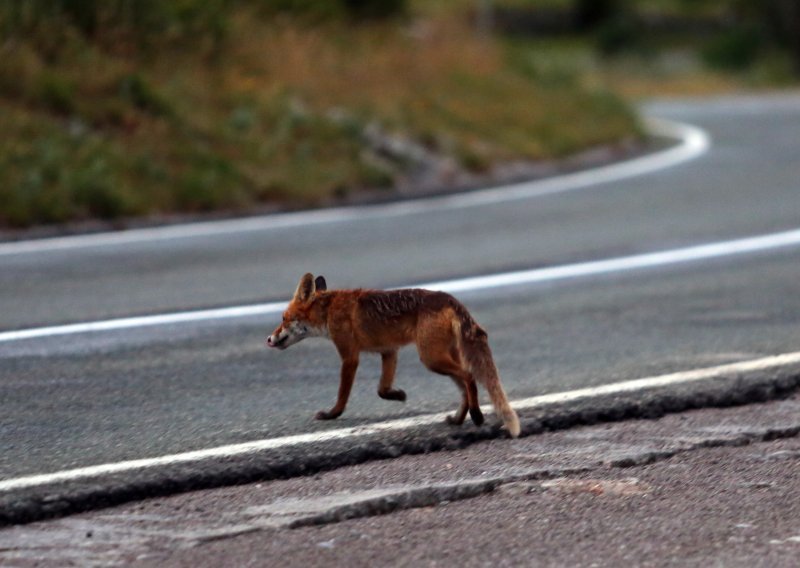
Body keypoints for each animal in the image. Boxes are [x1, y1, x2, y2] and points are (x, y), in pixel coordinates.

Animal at [266, 272, 520, 438]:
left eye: (283, 319)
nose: (269, 339)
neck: (329, 311)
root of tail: (449, 298)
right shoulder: (389, 351)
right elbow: (381, 389)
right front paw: (398, 396)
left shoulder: (349, 356)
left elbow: (342, 395)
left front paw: (332, 414)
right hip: (441, 358)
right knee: (465, 387)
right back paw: (458, 419)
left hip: (431, 359)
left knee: (469, 377)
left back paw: (477, 415)